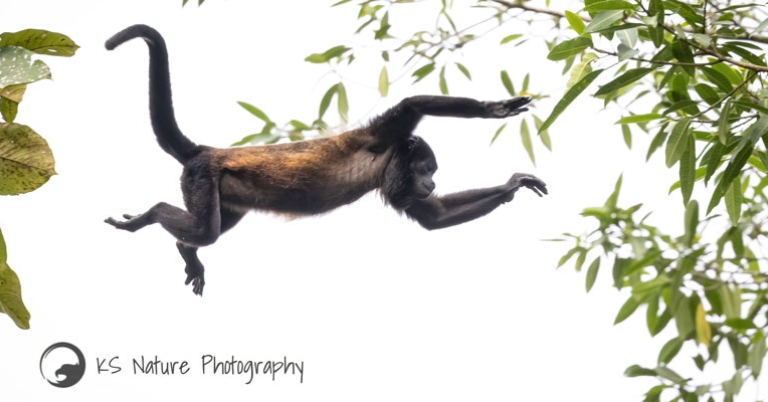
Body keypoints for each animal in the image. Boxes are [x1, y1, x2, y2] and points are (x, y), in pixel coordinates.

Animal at [104, 24, 548, 296]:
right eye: (428, 170)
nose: (433, 183)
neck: (389, 158)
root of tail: (204, 150)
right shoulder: (379, 137)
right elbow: (412, 104)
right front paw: (495, 108)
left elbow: (434, 217)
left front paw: (513, 184)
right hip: (200, 176)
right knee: (204, 228)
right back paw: (150, 216)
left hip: (222, 190)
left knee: (208, 227)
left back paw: (186, 250)